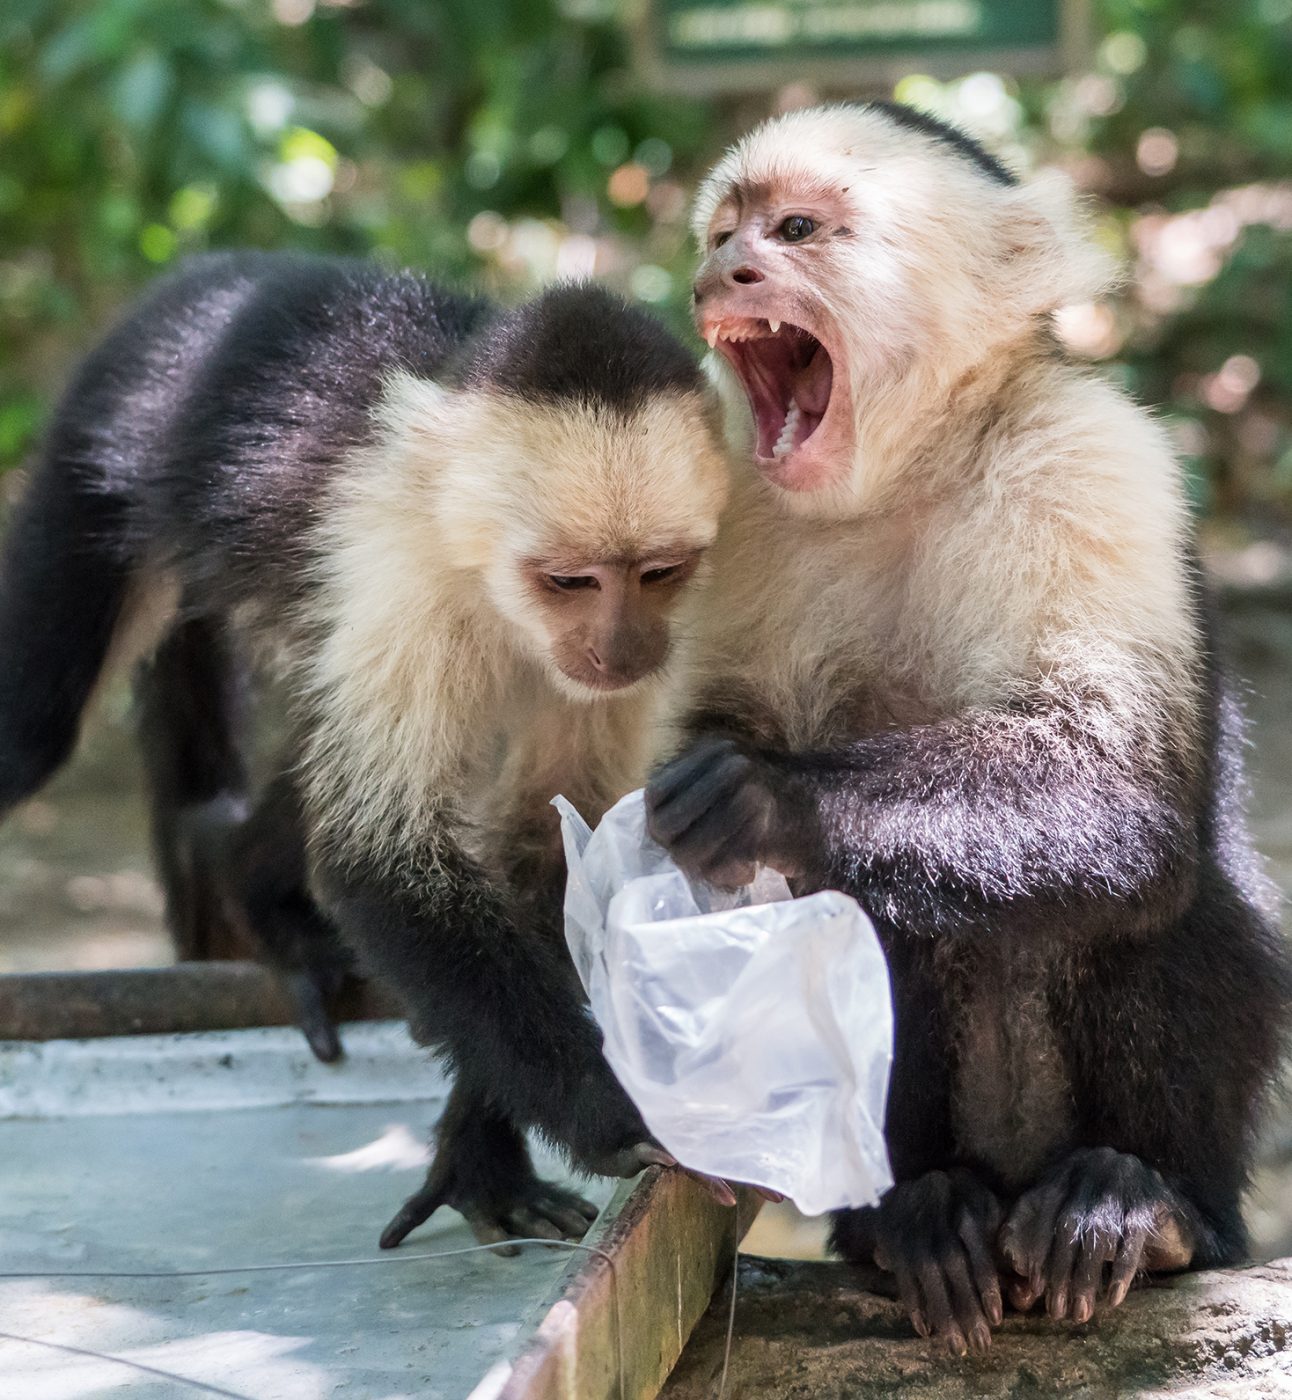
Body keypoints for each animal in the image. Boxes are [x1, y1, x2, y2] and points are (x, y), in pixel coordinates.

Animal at [0, 246, 733, 1243]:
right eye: (571, 581)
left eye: (659, 572)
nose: (623, 649)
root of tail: (214, 271)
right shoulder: (403, 576)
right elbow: (378, 862)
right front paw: (612, 1111)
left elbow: (548, 855)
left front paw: (479, 1158)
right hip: (107, 433)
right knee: (29, 731)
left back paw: (248, 880)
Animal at [646, 106, 1292, 1355]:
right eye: (719, 231)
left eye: (793, 231)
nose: (721, 273)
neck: (906, 472)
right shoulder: (733, 508)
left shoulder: (1087, 453)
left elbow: (1112, 782)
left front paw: (764, 793)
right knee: (874, 911)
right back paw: (911, 1210)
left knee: (1166, 885)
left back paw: (1146, 1201)